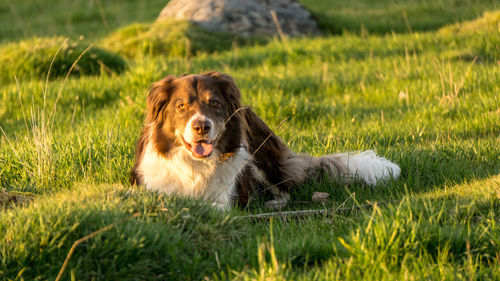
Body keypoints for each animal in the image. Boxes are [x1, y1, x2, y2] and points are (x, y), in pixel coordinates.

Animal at [130, 71, 402, 208]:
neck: (196, 166)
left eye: (214, 103)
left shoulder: (224, 199)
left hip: (262, 152)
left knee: (284, 187)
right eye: (181, 106)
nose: (201, 127)